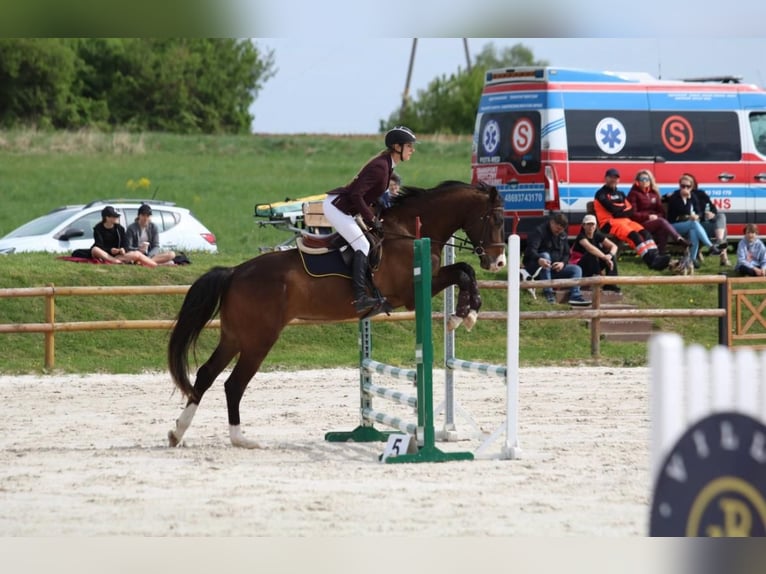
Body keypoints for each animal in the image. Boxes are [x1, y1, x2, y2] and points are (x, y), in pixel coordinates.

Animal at [165, 180, 508, 450]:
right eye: (496, 218)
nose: (498, 262)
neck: (408, 232)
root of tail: (235, 272)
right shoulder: (412, 293)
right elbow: (462, 272)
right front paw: (464, 314)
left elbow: (464, 271)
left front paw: (465, 312)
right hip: (258, 340)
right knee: (233, 384)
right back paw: (241, 439)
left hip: (235, 336)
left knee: (206, 375)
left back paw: (178, 432)